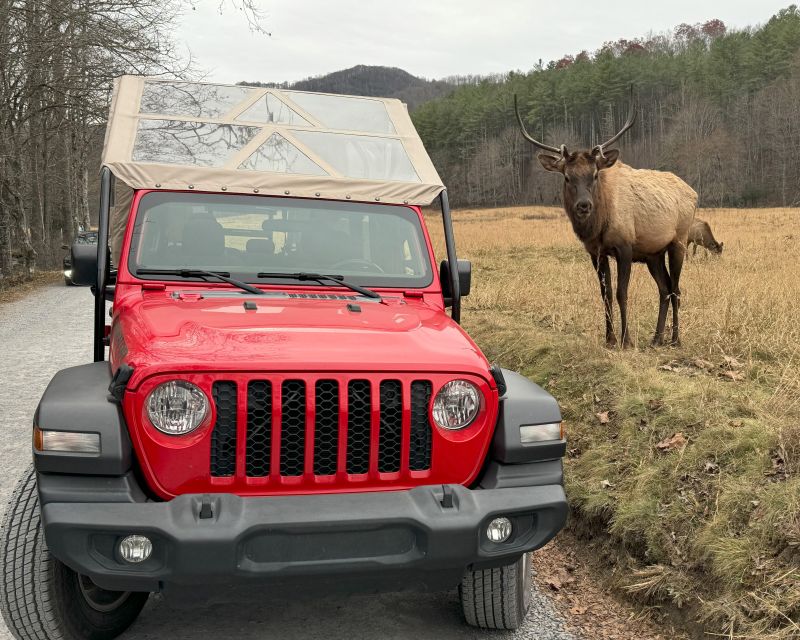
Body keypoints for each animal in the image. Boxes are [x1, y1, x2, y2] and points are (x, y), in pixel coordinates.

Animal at [516, 89, 696, 344]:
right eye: (567, 177)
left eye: (594, 174)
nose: (584, 205)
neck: (598, 227)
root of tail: (694, 193)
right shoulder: (596, 252)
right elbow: (606, 294)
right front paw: (609, 338)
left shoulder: (625, 246)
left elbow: (622, 293)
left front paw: (626, 340)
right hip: (653, 253)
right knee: (664, 289)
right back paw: (656, 339)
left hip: (679, 240)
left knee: (676, 289)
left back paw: (675, 339)